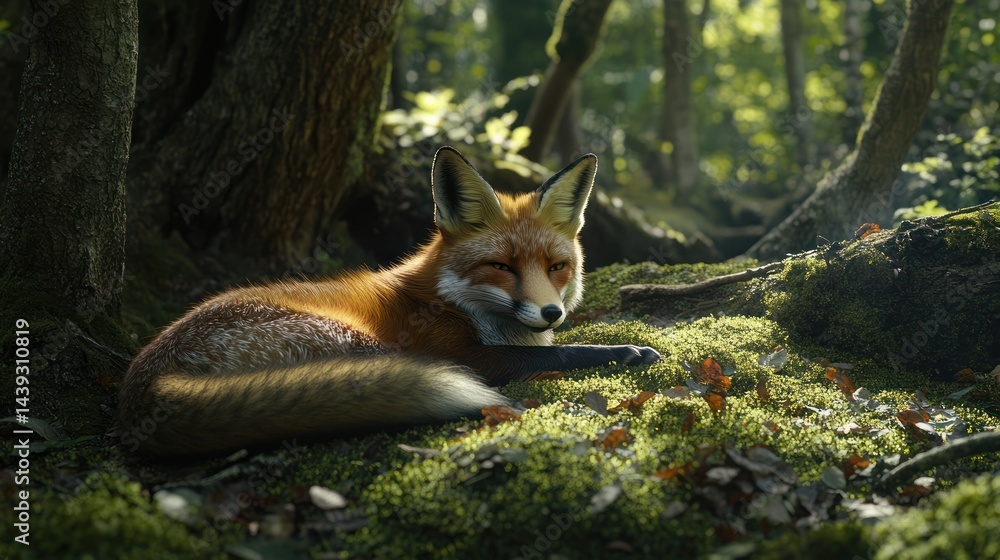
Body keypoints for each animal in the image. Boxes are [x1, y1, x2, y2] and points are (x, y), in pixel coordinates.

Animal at [117, 146, 662, 456]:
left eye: (556, 267)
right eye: (502, 267)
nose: (552, 312)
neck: (452, 301)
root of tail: (141, 379)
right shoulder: (459, 352)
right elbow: (558, 352)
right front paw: (623, 351)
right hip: (354, 340)